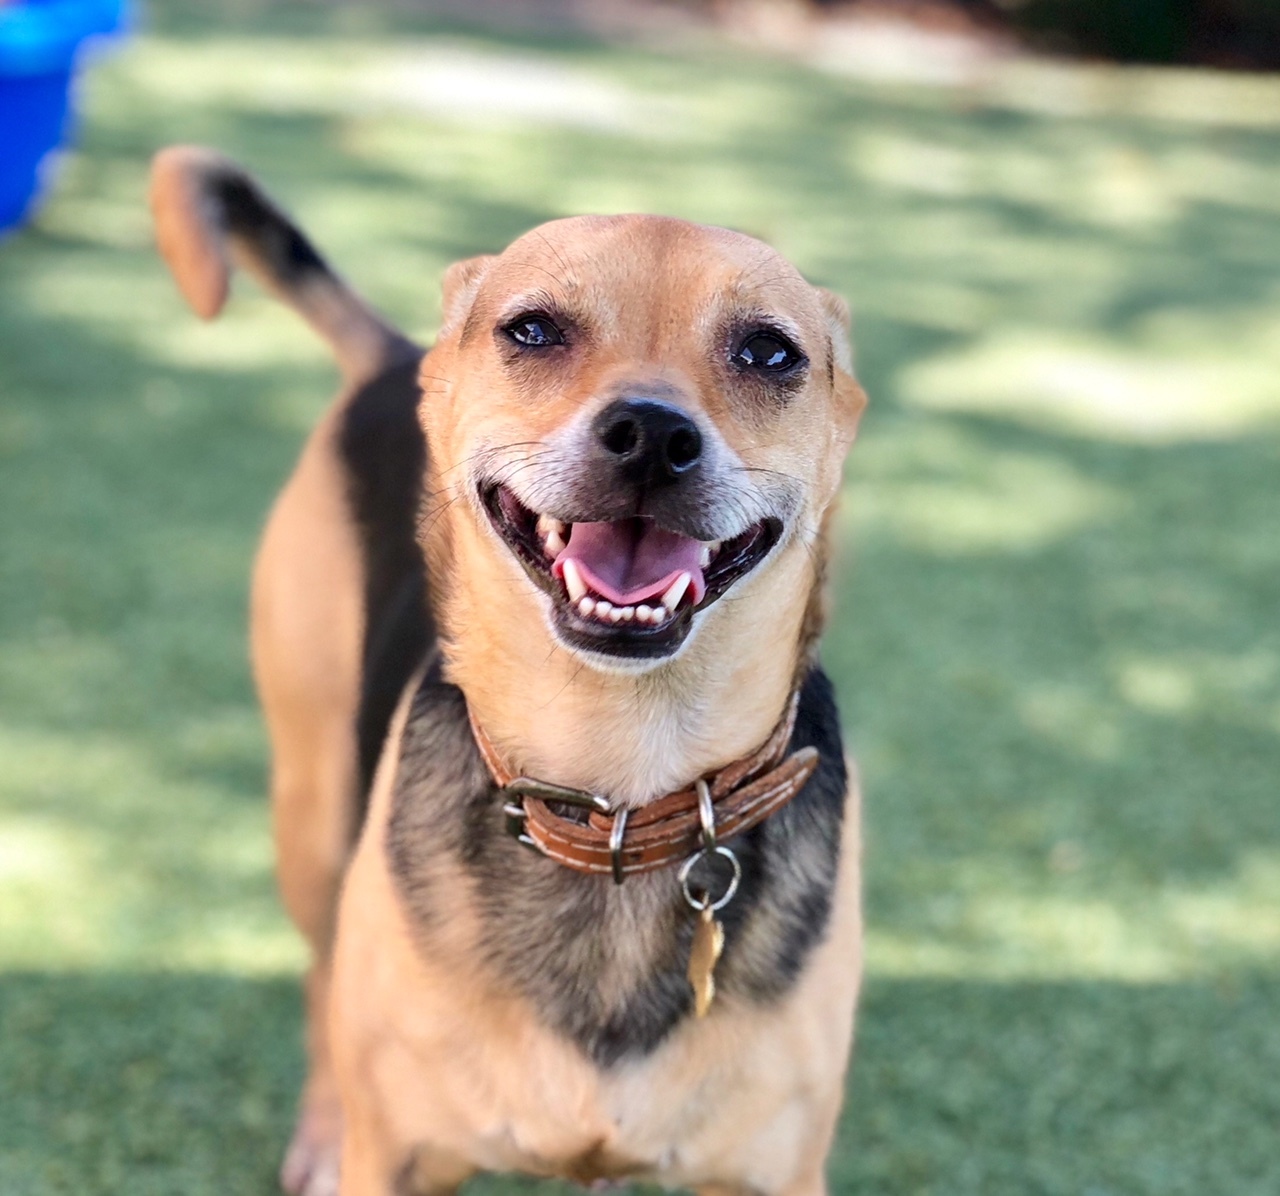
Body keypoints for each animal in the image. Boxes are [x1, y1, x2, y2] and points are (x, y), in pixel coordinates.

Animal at [149, 147, 870, 1196]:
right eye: (532, 330)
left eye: (770, 354)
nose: (653, 434)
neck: (617, 788)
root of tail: (397, 357)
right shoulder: (398, 1159)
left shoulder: (772, 1171)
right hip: (312, 815)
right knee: (320, 976)